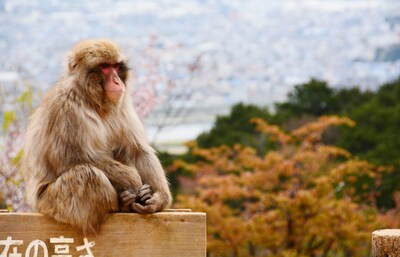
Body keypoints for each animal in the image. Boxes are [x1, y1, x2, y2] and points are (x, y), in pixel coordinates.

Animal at [21, 39, 172, 233]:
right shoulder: (65, 106)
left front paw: (159, 198)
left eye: (116, 66)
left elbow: (138, 150)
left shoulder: (122, 103)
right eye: (105, 67)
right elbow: (67, 159)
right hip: (53, 203)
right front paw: (132, 178)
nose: (117, 81)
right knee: (87, 175)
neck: (93, 101)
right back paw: (122, 204)